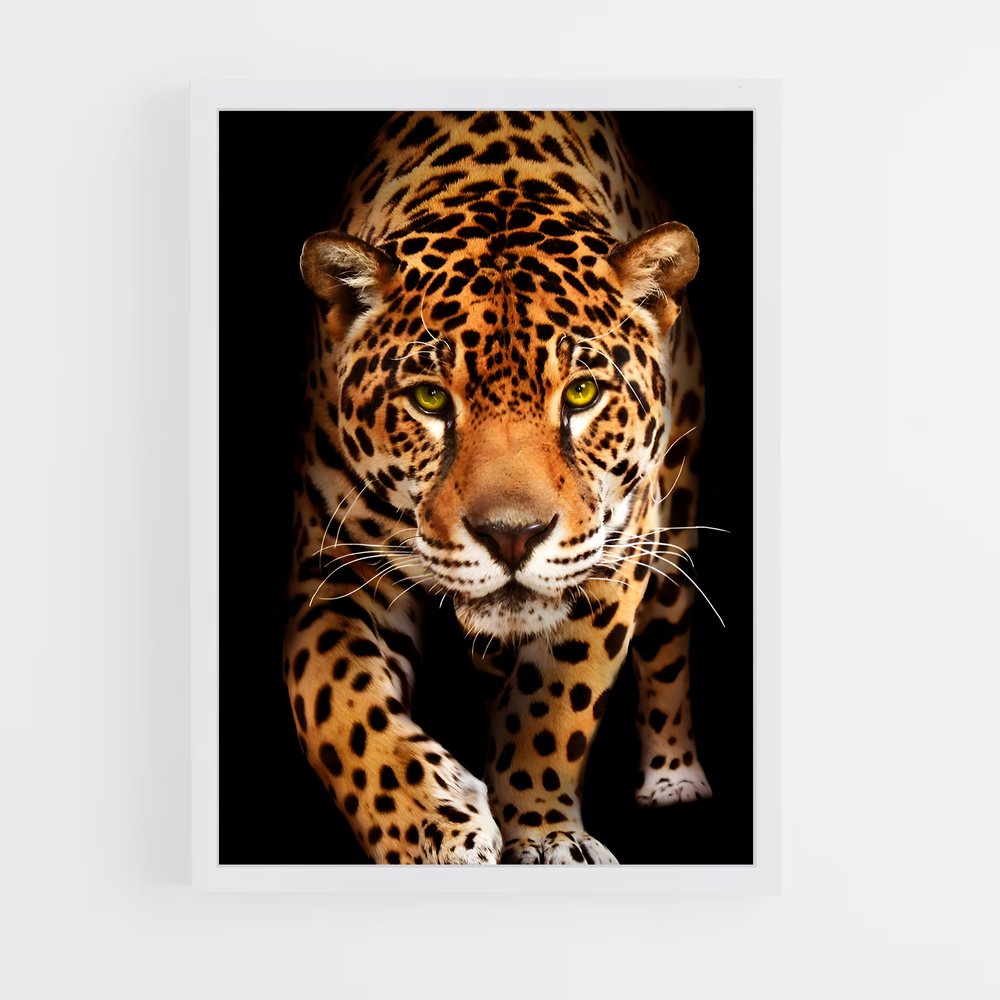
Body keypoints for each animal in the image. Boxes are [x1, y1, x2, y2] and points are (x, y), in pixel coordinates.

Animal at [283, 110, 713, 864]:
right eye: (429, 398)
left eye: (582, 393)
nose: (512, 538)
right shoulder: (334, 572)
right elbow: (341, 709)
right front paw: (436, 828)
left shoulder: (616, 552)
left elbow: (556, 702)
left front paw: (545, 834)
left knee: (668, 641)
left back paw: (673, 779)